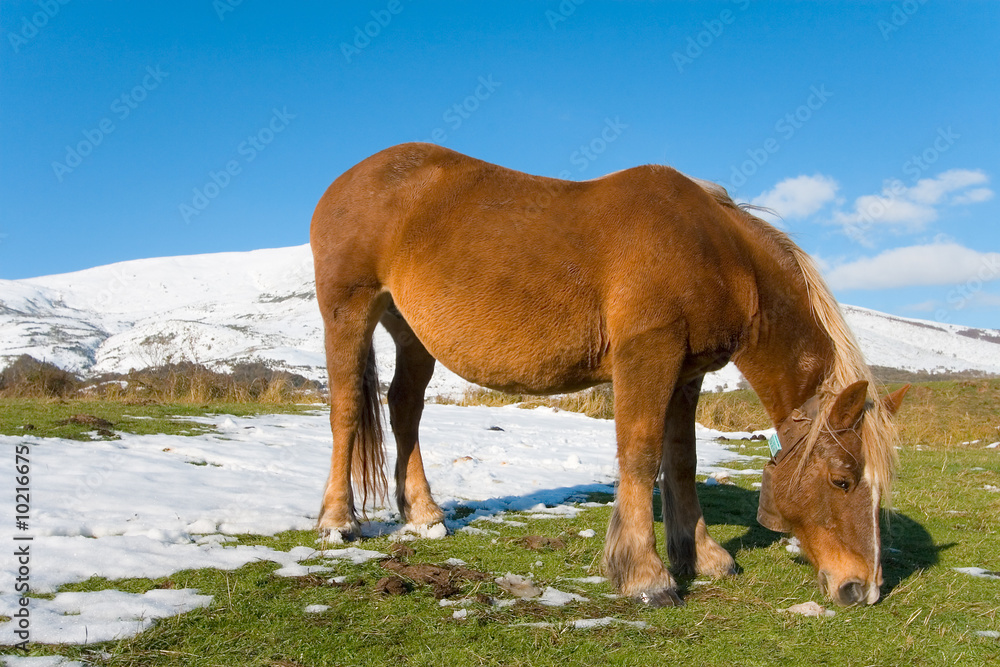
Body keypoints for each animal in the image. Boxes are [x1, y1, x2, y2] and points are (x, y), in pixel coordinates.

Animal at [309, 142, 909, 607]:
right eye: (842, 480)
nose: (864, 589)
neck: (716, 249)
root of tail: (347, 181)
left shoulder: (687, 373)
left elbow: (681, 462)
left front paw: (702, 556)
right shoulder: (648, 354)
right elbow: (641, 454)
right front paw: (645, 575)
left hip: (412, 333)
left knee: (404, 407)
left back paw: (424, 514)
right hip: (349, 311)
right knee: (347, 409)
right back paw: (338, 521)